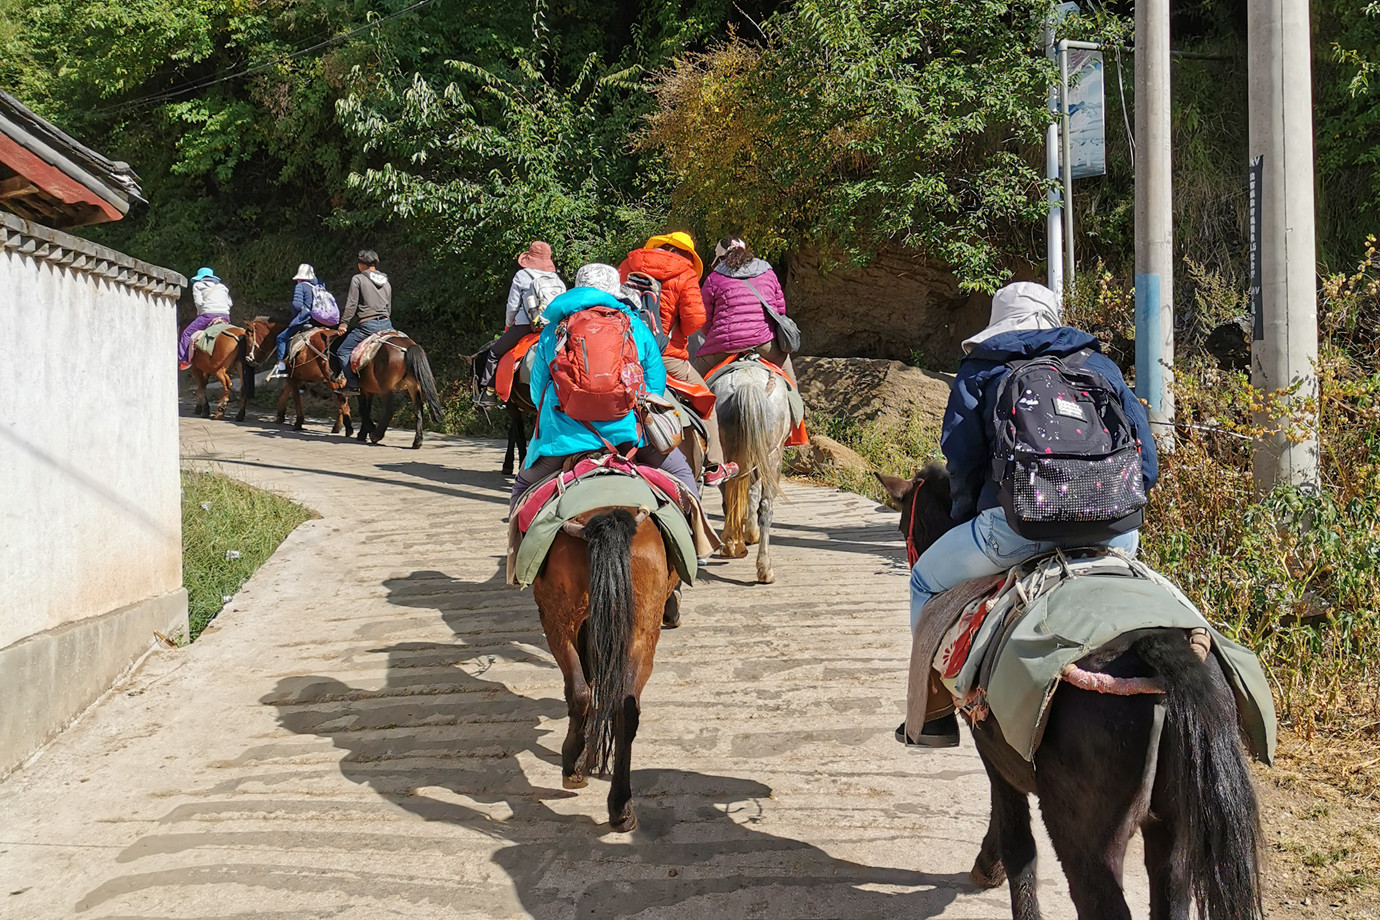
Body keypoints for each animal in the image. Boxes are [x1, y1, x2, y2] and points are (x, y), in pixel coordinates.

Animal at [527, 504, 678, 833]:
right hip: (639, 631)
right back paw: (619, 804)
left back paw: (575, 766)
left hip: (558, 621)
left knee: (581, 692)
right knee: (623, 707)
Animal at [706, 358, 794, 582]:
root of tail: (747, 384)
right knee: (763, 505)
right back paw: (760, 565)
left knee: (734, 497)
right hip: (771, 456)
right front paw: (749, 533)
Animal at [872, 468, 1264, 920]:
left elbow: (1017, 839)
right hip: (1177, 830)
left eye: (903, 524)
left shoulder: (995, 754)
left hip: (1086, 839)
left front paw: (991, 869)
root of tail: (1154, 643)